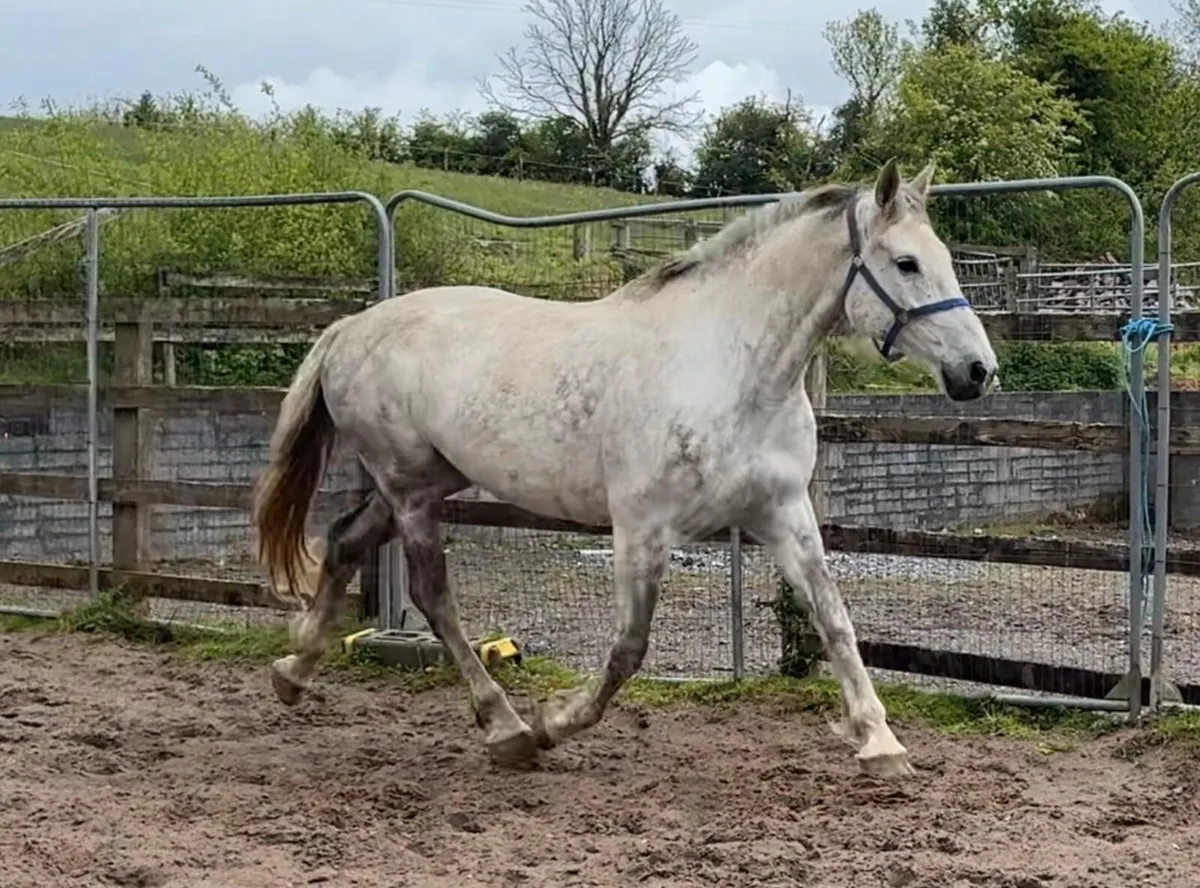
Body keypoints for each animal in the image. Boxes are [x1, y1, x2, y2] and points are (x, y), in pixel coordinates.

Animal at [253, 159, 998, 778]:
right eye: (906, 263)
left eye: (945, 259)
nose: (977, 372)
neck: (731, 368)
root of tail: (350, 327)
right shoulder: (642, 526)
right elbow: (628, 648)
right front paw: (554, 721)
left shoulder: (782, 510)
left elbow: (833, 616)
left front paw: (881, 743)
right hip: (409, 487)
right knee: (434, 598)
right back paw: (506, 729)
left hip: (426, 479)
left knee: (344, 542)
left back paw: (293, 672)